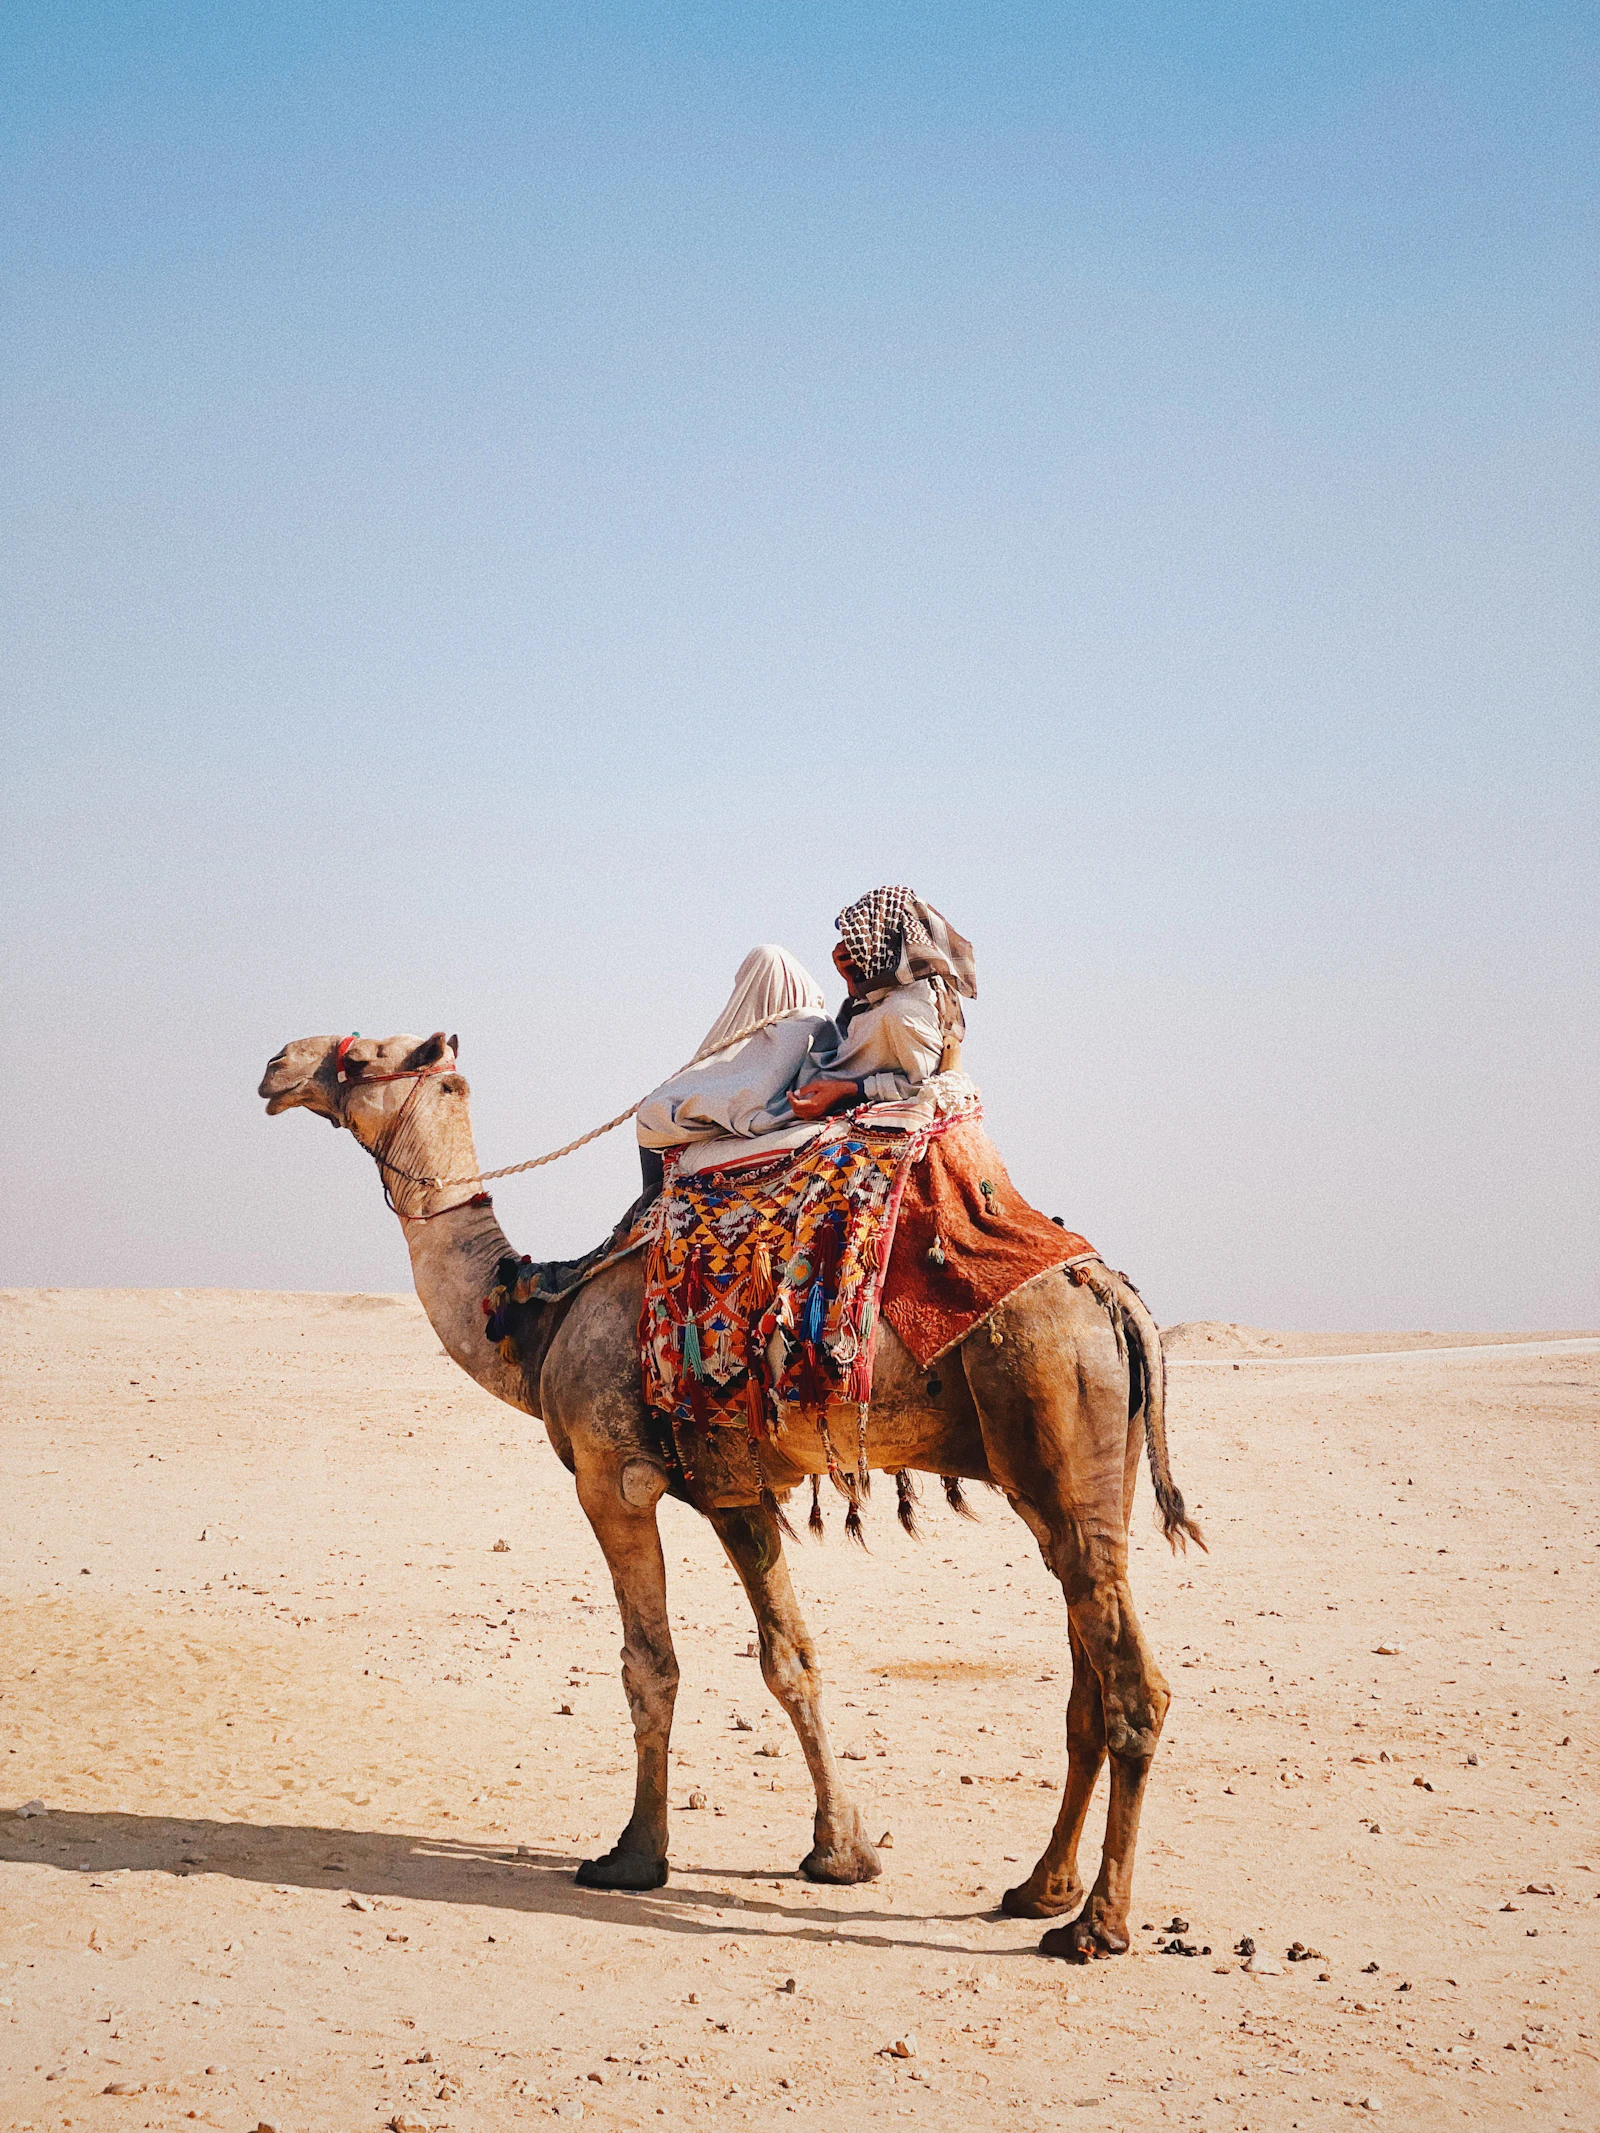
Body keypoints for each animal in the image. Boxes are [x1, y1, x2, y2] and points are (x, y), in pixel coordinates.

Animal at [258, 1029, 1201, 1960]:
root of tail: (1117, 1296)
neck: (536, 1317)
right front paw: (841, 1851)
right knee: (1086, 1670)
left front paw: (634, 1855)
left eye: (362, 1058)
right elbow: (791, 1660)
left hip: (1056, 1412)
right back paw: (1039, 1888)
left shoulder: (613, 1480)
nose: (277, 1066)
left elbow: (650, 1666)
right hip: (1080, 1479)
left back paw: (1095, 1924)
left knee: (1134, 1689)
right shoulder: (734, 1494)